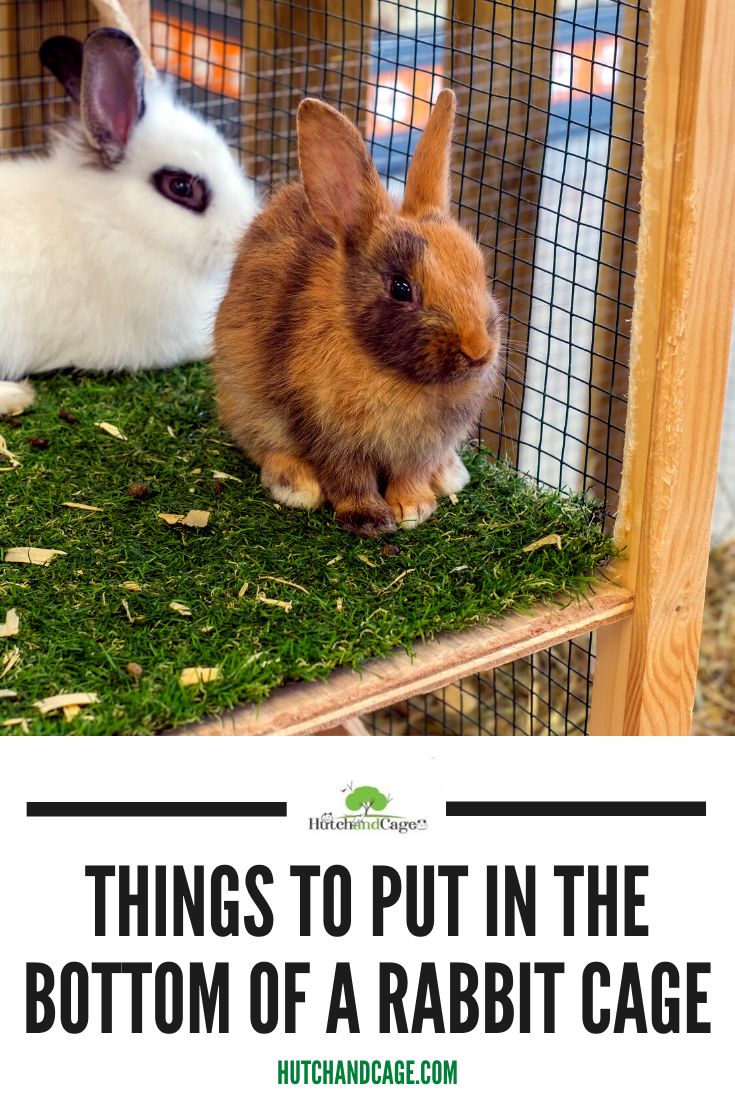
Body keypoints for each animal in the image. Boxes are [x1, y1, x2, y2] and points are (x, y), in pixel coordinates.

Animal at [212, 90, 500, 537]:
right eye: (400, 287)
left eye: (479, 269)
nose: (479, 352)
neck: (390, 370)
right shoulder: (328, 435)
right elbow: (348, 478)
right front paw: (370, 519)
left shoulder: (420, 449)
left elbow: (411, 475)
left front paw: (414, 508)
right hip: (244, 404)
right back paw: (295, 485)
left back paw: (450, 474)